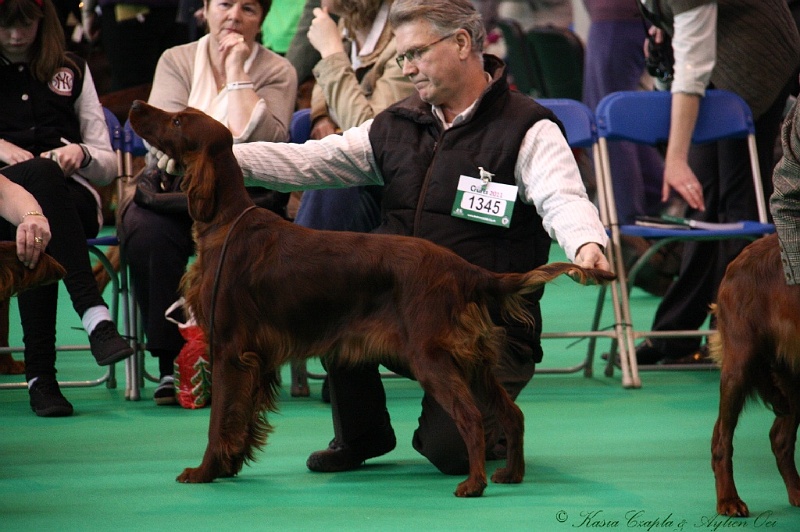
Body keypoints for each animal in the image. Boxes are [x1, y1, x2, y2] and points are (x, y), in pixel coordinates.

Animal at [130, 101, 620, 498]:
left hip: (431, 357)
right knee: (511, 414)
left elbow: (219, 421)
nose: (135, 105)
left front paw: (204, 471)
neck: (224, 219)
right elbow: (240, 419)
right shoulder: (255, 356)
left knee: (469, 418)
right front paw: (229, 466)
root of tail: (462, 270)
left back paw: (474, 483)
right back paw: (510, 475)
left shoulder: (230, 348)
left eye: (177, 120)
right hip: (475, 361)